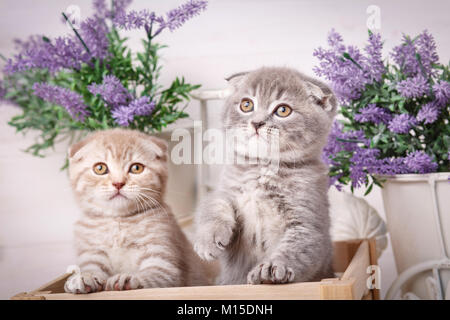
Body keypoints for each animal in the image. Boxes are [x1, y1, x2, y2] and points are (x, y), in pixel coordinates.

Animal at [64, 129, 208, 294]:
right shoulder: (91, 253)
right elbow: (91, 268)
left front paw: (129, 278)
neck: (118, 222)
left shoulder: (164, 262)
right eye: (100, 168)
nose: (118, 183)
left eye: (136, 168)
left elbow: (155, 275)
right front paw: (83, 277)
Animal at [193, 66, 338, 284]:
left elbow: (297, 247)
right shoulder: (226, 189)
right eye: (246, 105)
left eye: (283, 110)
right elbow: (213, 205)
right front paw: (207, 239)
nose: (256, 123)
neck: (263, 168)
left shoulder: (308, 221)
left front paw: (271, 269)